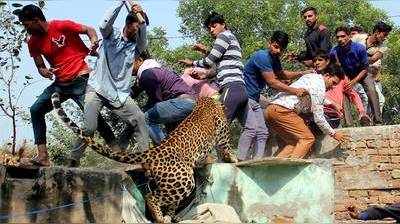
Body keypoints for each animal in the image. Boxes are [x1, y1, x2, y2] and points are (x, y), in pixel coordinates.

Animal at [50, 92, 238, 223]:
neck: (204, 100)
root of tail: (153, 152)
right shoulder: (222, 132)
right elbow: (226, 147)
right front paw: (233, 159)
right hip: (184, 180)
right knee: (151, 198)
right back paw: (161, 218)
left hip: (171, 182)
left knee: (167, 200)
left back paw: (171, 217)